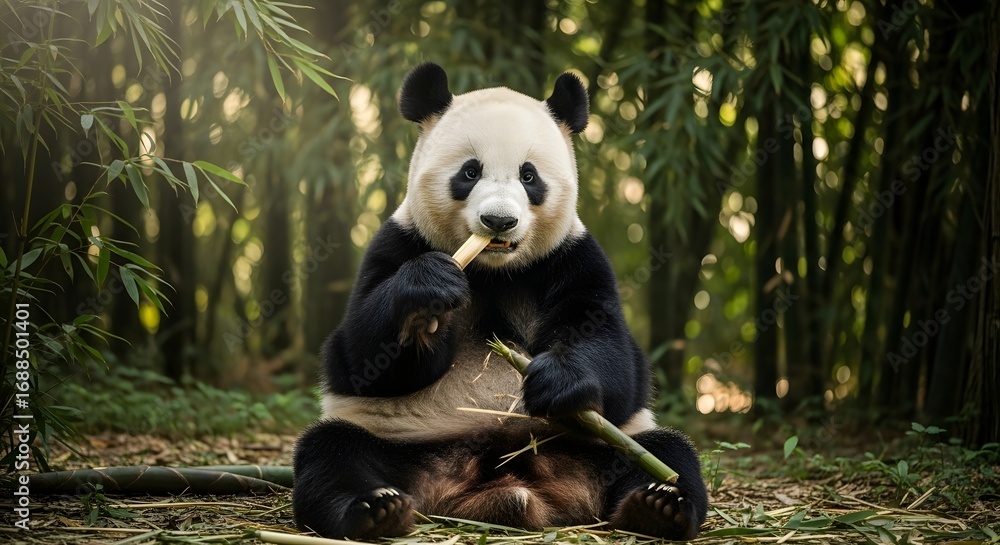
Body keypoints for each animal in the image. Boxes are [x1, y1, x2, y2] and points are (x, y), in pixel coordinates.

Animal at [292, 63, 708, 540]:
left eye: (529, 176)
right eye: (470, 172)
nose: (498, 221)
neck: (492, 269)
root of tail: (509, 487)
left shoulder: (574, 257)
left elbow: (618, 360)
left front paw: (557, 378)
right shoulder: (396, 243)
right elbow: (356, 361)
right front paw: (426, 299)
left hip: (594, 444)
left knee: (667, 451)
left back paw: (658, 506)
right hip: (402, 446)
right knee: (332, 452)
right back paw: (375, 509)